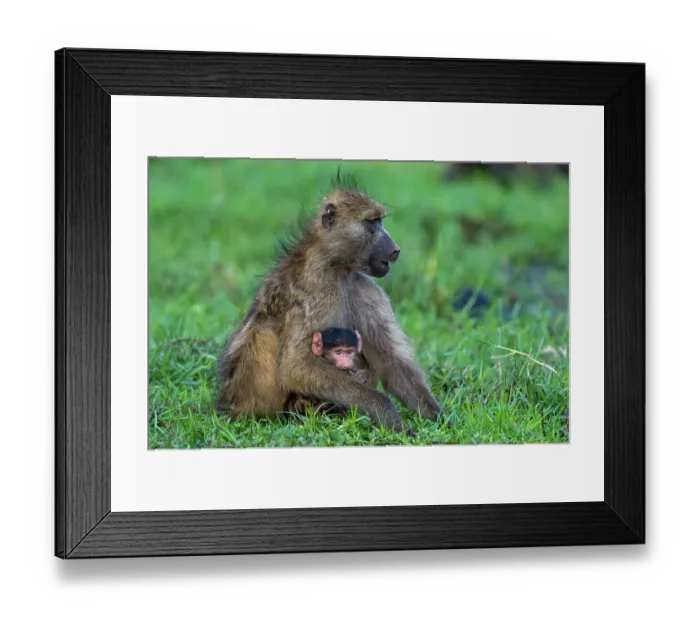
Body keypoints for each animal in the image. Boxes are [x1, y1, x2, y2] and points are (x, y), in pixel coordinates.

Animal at [216, 178, 442, 432]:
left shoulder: (365, 288)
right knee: (264, 332)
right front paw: (390, 415)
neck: (334, 265)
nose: (395, 250)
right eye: (371, 223)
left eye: (380, 221)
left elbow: (391, 360)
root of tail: (227, 406)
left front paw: (437, 417)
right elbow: (296, 366)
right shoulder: (320, 289)